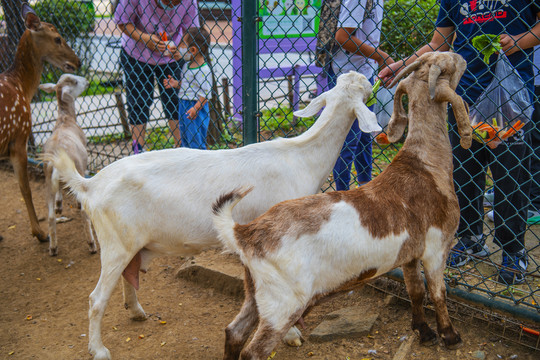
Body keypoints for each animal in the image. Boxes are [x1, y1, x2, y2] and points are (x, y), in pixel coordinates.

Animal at [0, 2, 80, 242]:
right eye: (57, 38)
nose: (78, 61)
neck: (21, 87)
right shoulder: (19, 137)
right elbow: (24, 188)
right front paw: (40, 233)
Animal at [39, 74, 96, 256]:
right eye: (75, 82)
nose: (87, 81)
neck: (65, 119)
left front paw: (59, 204)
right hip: (76, 168)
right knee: (84, 213)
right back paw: (92, 244)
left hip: (47, 179)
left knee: (50, 216)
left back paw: (53, 247)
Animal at [48, 71, 382, 360]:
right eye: (363, 87)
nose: (371, 74)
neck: (302, 157)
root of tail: (90, 184)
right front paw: (291, 335)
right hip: (115, 243)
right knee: (96, 299)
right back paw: (99, 350)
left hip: (128, 244)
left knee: (126, 277)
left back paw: (137, 311)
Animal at [211, 51, 472, 360]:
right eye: (446, 67)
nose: (460, 56)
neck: (425, 164)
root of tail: (244, 234)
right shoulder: (436, 247)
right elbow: (438, 293)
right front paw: (450, 336)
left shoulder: (409, 255)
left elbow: (416, 292)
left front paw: (424, 331)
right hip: (282, 304)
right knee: (253, 352)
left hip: (255, 292)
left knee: (233, 331)